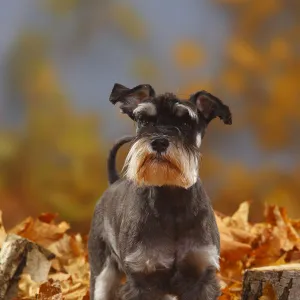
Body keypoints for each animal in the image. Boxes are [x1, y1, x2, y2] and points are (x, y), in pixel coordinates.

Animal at [87, 82, 232, 300]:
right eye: (144, 120)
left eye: (186, 123)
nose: (159, 142)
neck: (171, 201)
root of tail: (113, 182)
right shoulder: (142, 278)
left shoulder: (201, 276)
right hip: (102, 272)